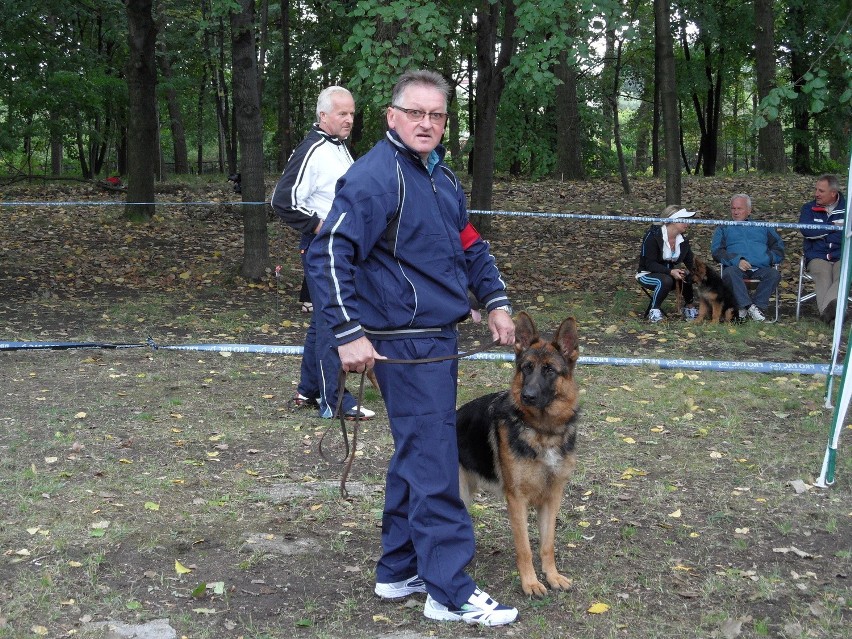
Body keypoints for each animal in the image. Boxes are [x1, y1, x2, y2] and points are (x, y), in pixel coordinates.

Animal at [456, 312, 584, 596]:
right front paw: (530, 583)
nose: (528, 396)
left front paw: (552, 576)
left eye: (549, 370)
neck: (542, 431)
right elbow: (524, 547)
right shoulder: (517, 499)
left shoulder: (552, 497)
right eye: (526, 368)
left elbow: (547, 544)